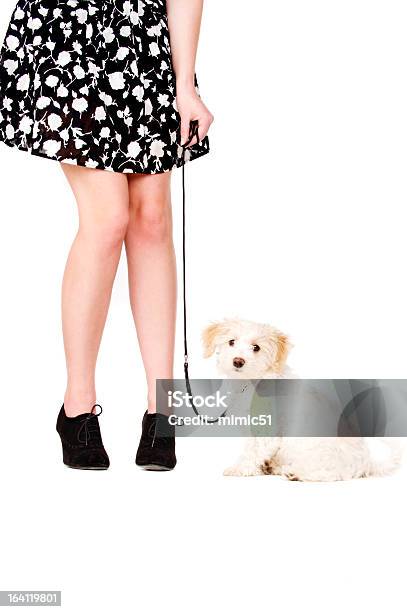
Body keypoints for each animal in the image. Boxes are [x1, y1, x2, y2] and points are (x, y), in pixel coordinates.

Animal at [202, 318, 404, 480]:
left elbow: (253, 451)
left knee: (334, 474)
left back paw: (295, 473)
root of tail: (367, 463)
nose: (238, 361)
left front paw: (240, 468)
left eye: (256, 348)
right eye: (231, 341)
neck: (252, 381)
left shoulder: (266, 429)